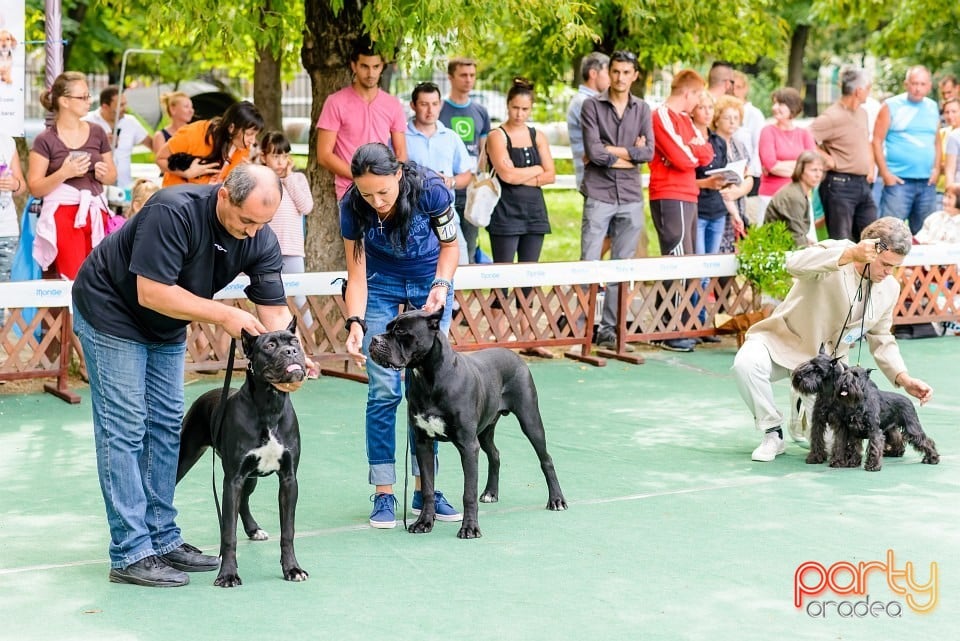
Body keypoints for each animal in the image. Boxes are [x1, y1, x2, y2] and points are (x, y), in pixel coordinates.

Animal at [174, 318, 306, 588]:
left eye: (295, 341)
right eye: (270, 345)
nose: (291, 352)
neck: (270, 406)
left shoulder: (288, 479)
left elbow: (288, 531)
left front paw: (292, 568)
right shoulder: (231, 480)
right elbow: (228, 532)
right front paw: (227, 574)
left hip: (251, 477)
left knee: (244, 501)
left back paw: (254, 529)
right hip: (186, 458)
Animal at [366, 308, 564, 536]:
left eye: (400, 331)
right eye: (387, 327)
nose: (374, 339)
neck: (428, 377)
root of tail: (516, 356)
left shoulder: (468, 446)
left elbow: (468, 492)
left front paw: (470, 528)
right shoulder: (423, 443)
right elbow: (427, 489)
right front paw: (424, 522)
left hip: (529, 419)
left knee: (546, 458)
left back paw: (557, 500)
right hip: (485, 430)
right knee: (495, 454)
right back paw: (490, 493)